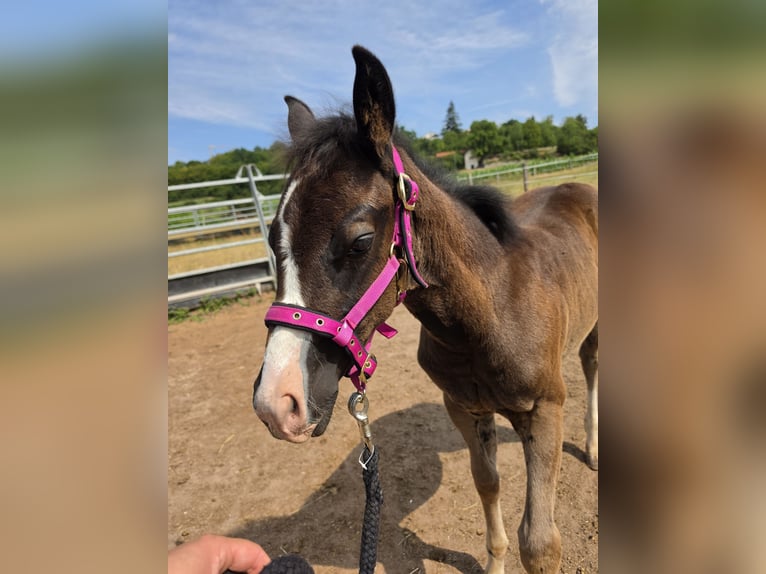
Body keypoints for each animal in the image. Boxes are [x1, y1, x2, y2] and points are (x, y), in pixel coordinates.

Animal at [252, 45, 598, 574]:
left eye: (360, 241)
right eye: (273, 241)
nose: (277, 403)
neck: (490, 316)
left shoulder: (546, 410)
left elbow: (539, 543)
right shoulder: (464, 408)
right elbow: (488, 485)